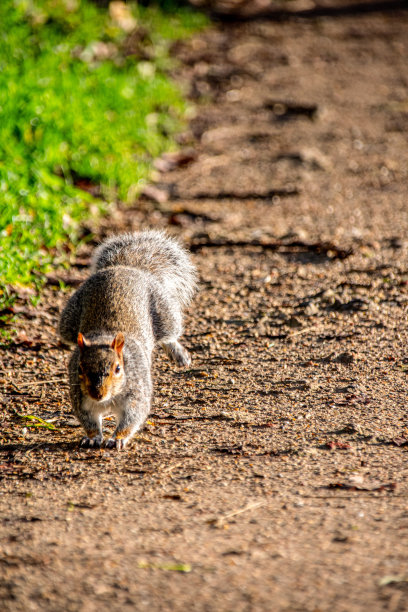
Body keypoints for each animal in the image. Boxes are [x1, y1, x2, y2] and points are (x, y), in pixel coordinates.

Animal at [58, 230, 197, 450]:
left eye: (118, 368)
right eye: (79, 368)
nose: (97, 394)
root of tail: (126, 267)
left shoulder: (136, 393)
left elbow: (132, 418)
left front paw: (118, 438)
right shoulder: (80, 397)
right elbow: (88, 420)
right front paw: (92, 437)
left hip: (165, 312)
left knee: (170, 334)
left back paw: (178, 352)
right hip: (68, 320)